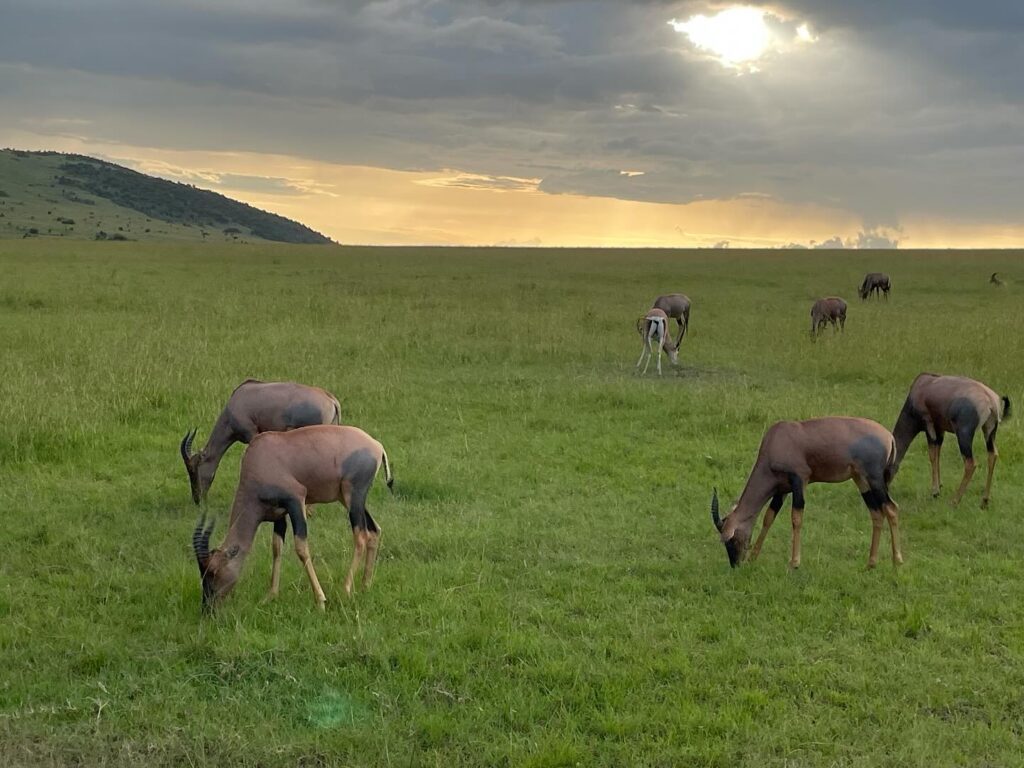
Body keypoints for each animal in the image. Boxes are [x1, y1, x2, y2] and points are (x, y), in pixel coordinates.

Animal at [190, 423, 393, 610]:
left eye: (213, 571)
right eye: (202, 572)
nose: (208, 608)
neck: (260, 457)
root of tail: (376, 445)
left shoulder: (296, 501)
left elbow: (301, 548)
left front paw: (321, 600)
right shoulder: (279, 514)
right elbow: (276, 547)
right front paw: (270, 596)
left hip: (353, 496)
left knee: (361, 537)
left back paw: (346, 589)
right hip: (348, 499)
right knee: (374, 530)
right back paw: (365, 585)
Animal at [708, 417, 901, 569]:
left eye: (731, 540)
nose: (736, 565)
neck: (778, 439)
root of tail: (889, 437)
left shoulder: (799, 480)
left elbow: (796, 517)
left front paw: (794, 563)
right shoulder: (782, 489)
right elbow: (768, 518)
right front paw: (753, 558)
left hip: (875, 478)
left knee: (891, 508)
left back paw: (897, 561)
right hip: (861, 480)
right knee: (876, 513)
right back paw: (871, 563)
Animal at [892, 374, 1011, 507]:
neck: (923, 384)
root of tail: (991, 401)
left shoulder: (929, 425)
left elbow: (932, 455)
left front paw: (935, 492)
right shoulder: (940, 429)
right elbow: (937, 454)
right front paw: (939, 487)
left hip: (964, 435)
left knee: (970, 463)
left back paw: (954, 501)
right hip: (989, 431)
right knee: (992, 455)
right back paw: (984, 501)